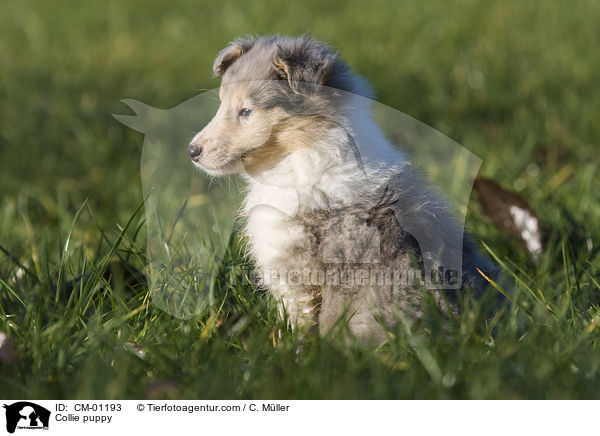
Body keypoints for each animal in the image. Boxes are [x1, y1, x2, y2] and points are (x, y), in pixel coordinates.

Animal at [190, 34, 500, 344]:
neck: (303, 152)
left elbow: (299, 323)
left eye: (246, 111)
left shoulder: (296, 273)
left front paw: (291, 349)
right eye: (221, 103)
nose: (192, 151)